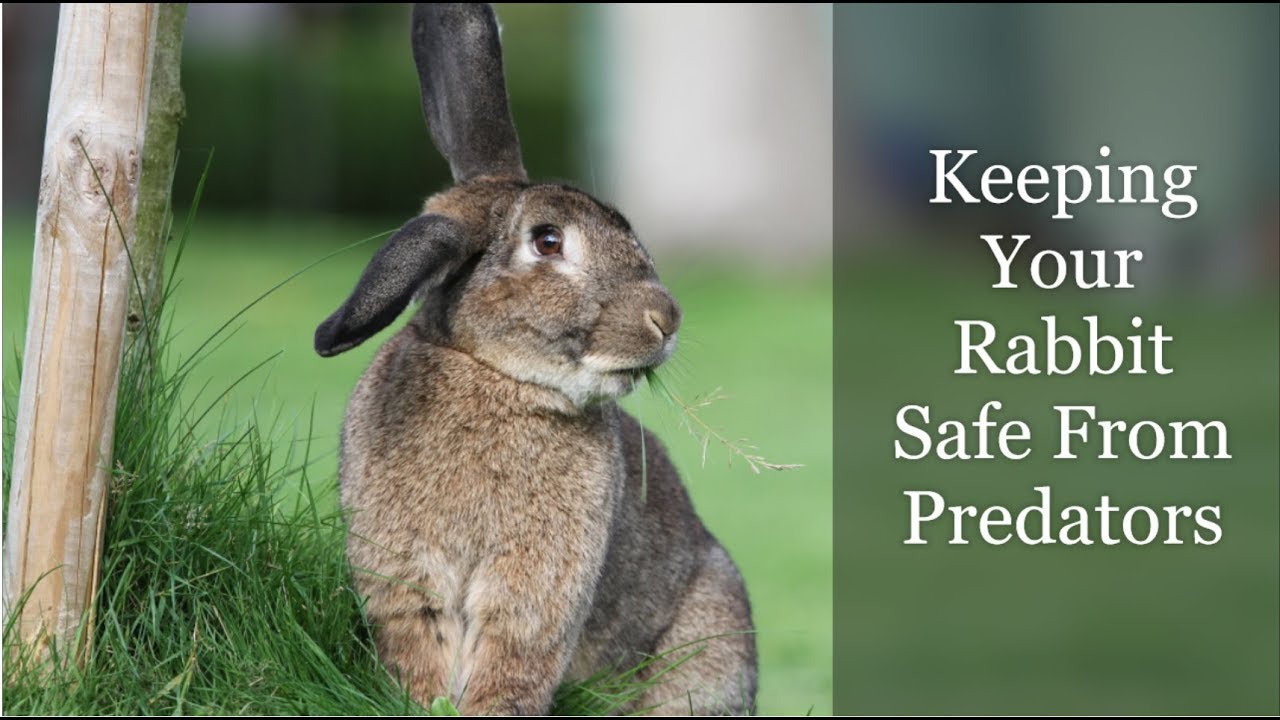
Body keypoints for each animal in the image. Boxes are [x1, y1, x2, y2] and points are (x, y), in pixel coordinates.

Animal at [314, 3, 757, 716]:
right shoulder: (406, 577)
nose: (666, 319)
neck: (494, 376)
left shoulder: (534, 592)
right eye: (547, 242)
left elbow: (510, 665)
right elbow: (422, 652)